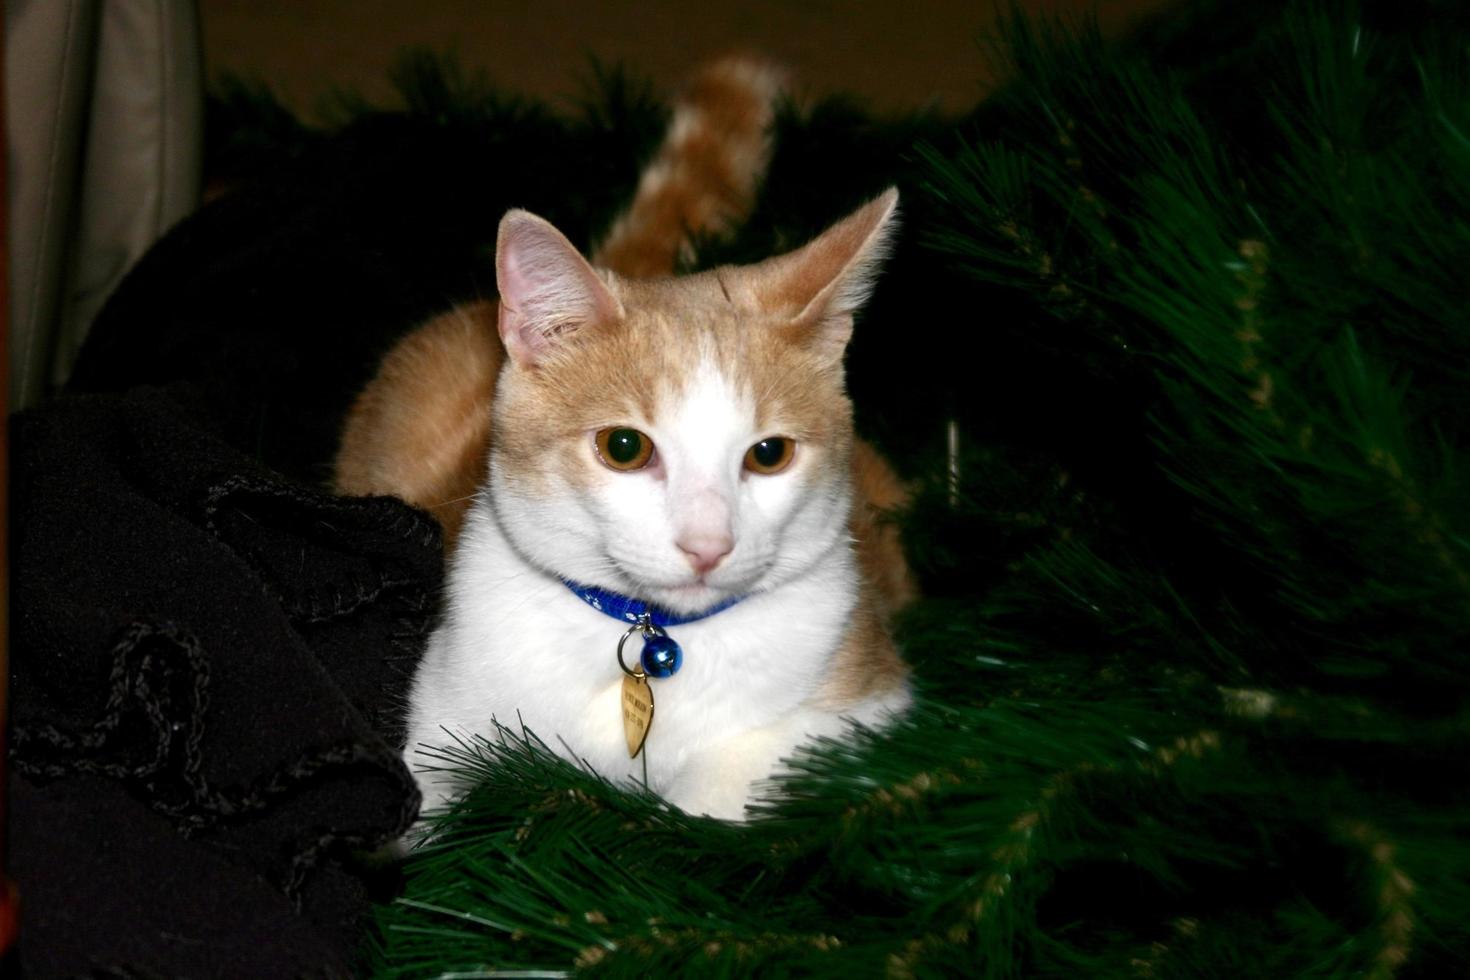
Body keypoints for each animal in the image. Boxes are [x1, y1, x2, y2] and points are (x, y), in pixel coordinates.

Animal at [336, 57, 911, 822]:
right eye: (624, 449)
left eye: (769, 454)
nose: (708, 546)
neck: (652, 643)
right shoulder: (442, 705)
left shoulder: (868, 699)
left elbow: (725, 788)